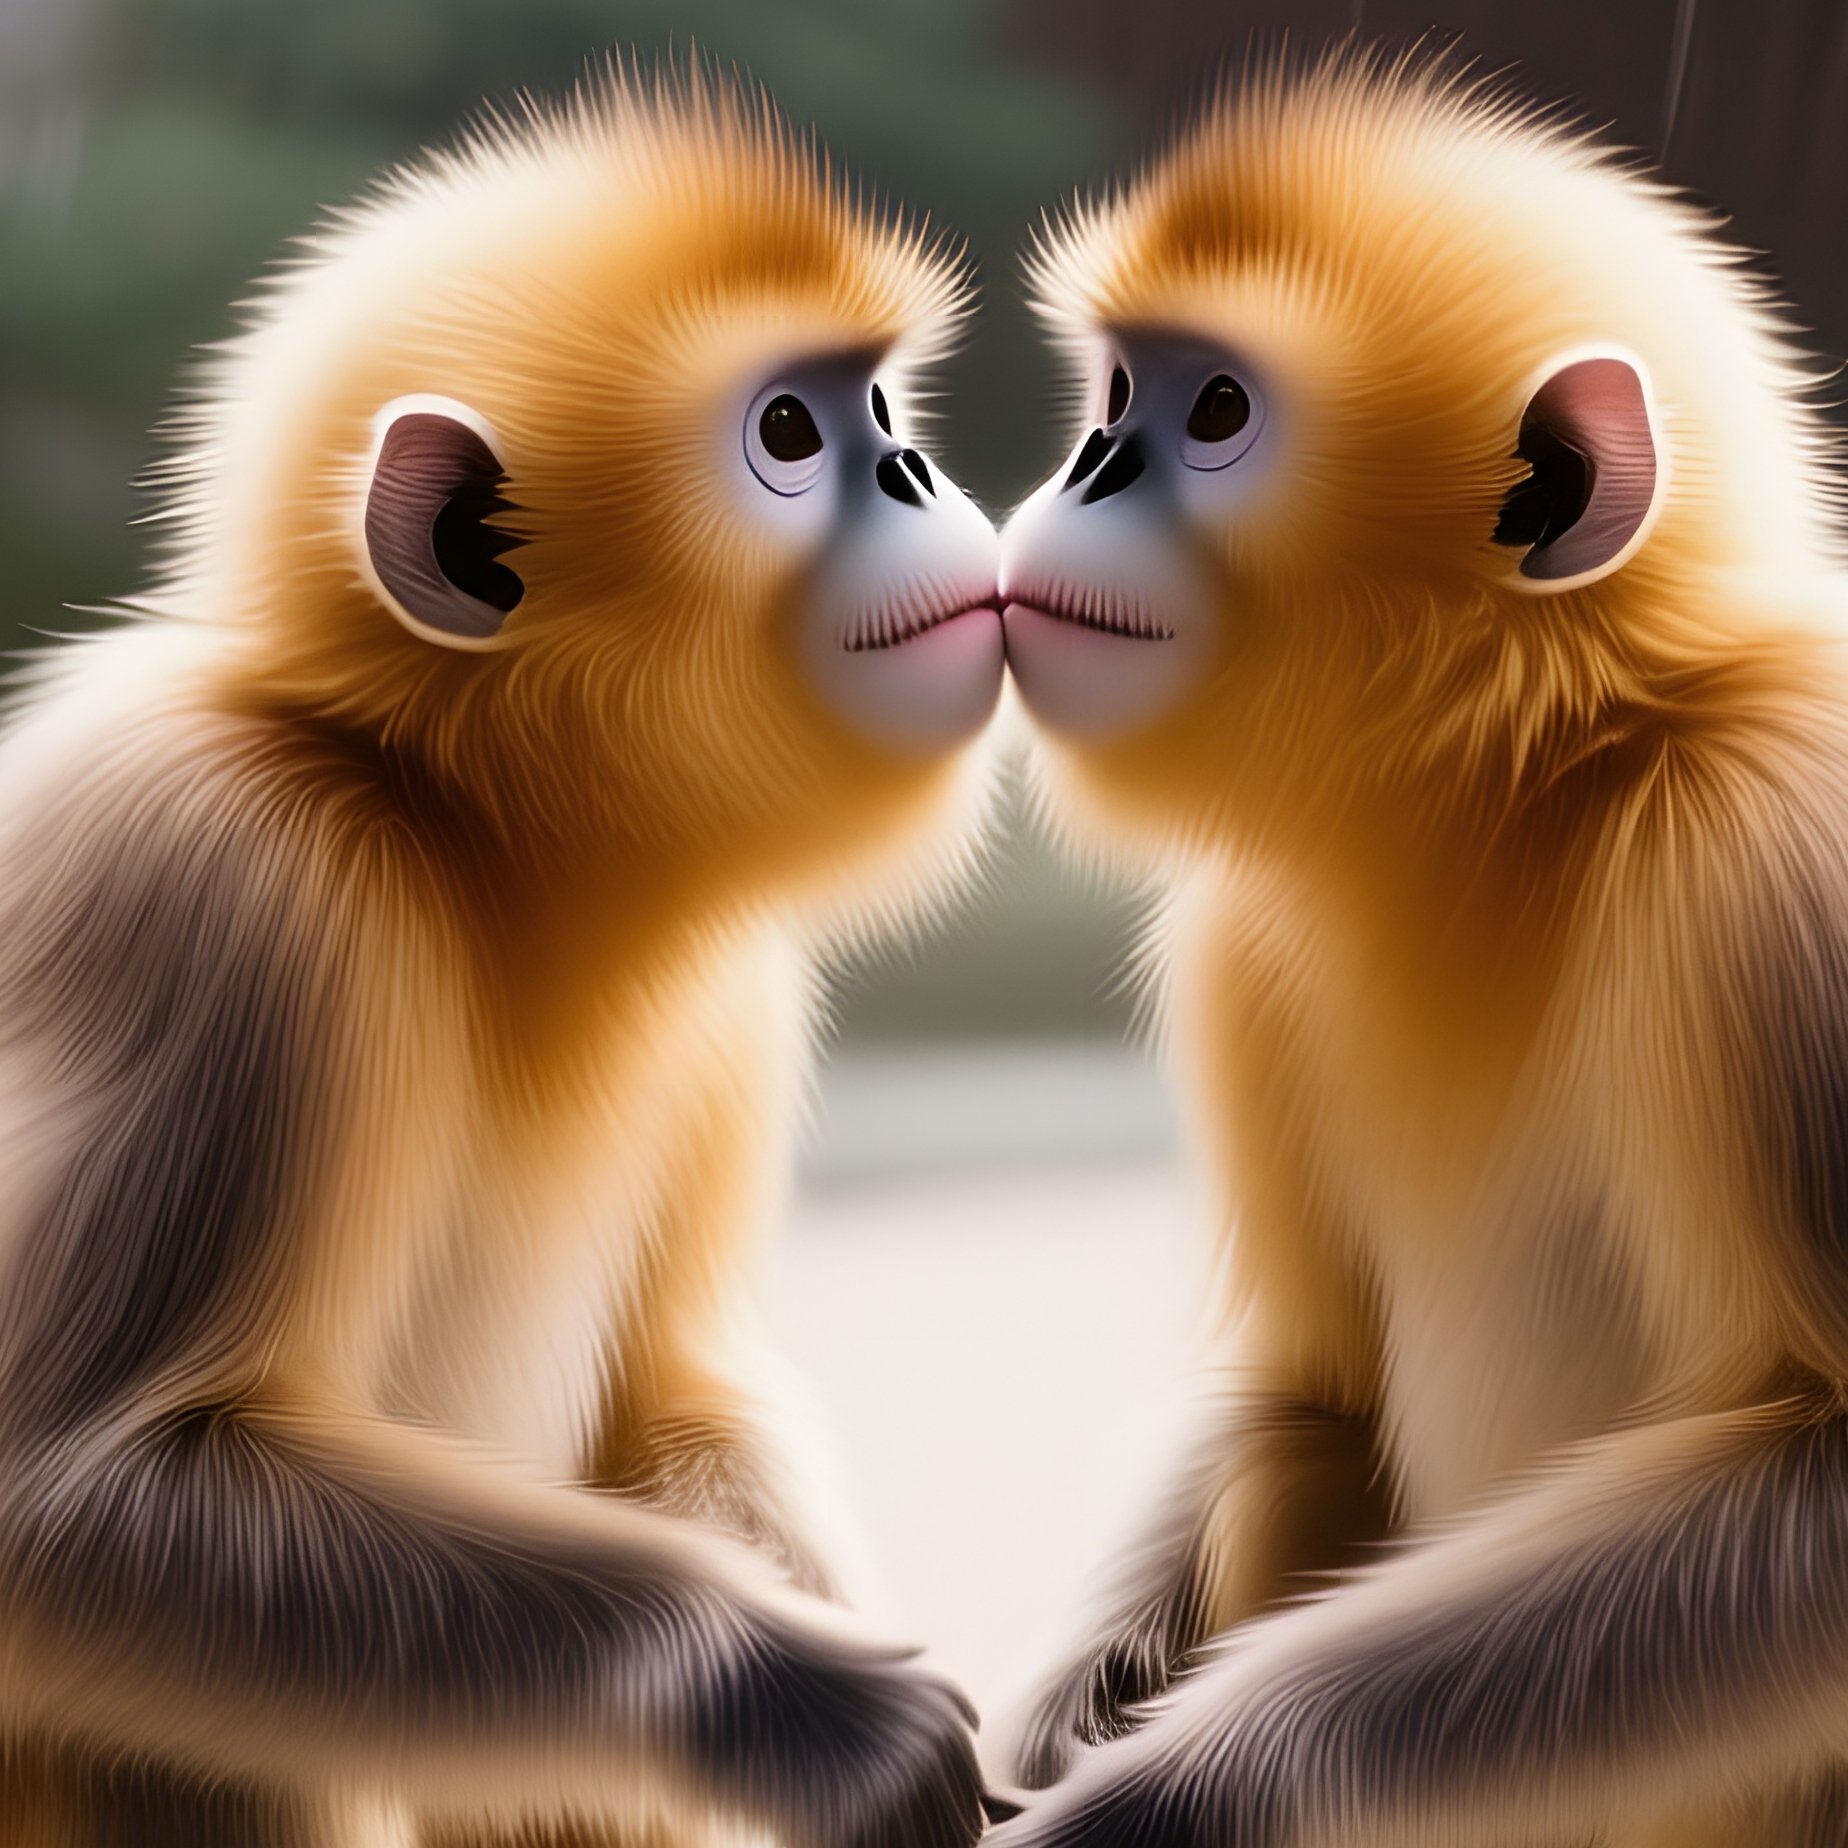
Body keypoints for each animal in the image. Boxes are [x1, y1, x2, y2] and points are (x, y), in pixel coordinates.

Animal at [0, 60, 1008, 1848]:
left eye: (885, 407)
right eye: (792, 432)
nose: (909, 471)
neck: (466, 836)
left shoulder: (730, 986)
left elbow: (671, 1394)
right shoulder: (216, 879)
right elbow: (68, 1497)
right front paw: (800, 1706)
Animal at [988, 43, 1848, 1848]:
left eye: (1214, 414)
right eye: (1116, 393)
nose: (1085, 468)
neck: (1531, 795)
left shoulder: (1775, 856)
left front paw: (1165, 1794)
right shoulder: (1240, 938)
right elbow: (1299, 1368)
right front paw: (1070, 1696)